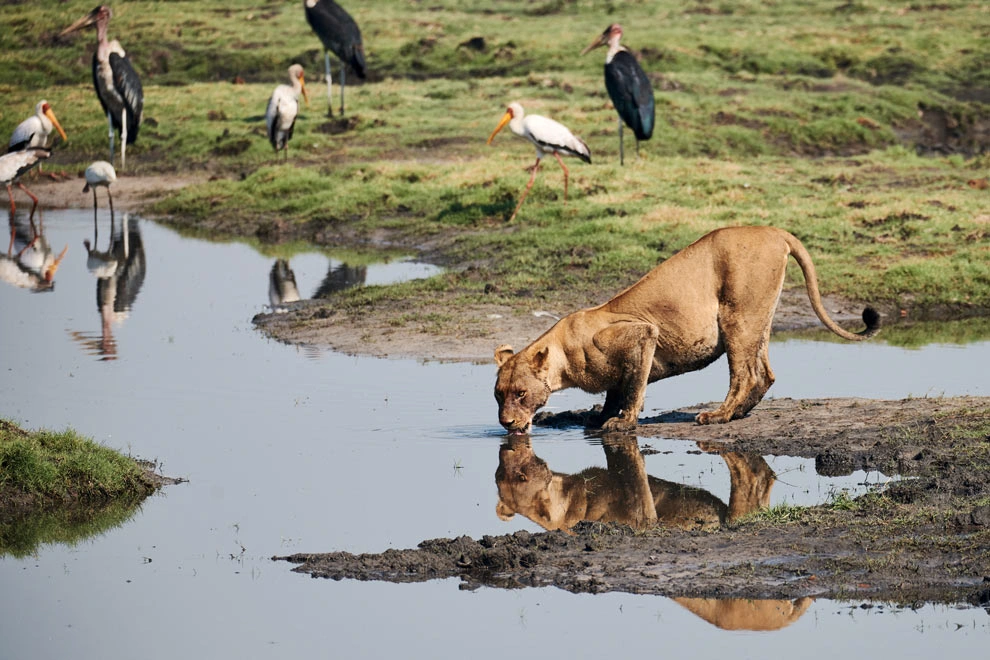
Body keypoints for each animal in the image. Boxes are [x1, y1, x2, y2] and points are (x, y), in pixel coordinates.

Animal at [494, 226, 879, 432]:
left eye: (521, 394)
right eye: (499, 395)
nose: (506, 424)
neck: (563, 357)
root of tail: (775, 231)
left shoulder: (643, 334)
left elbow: (633, 389)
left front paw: (622, 422)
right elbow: (615, 391)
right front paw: (599, 417)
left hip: (737, 317)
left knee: (746, 374)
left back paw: (720, 415)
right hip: (760, 319)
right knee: (766, 372)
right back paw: (739, 413)